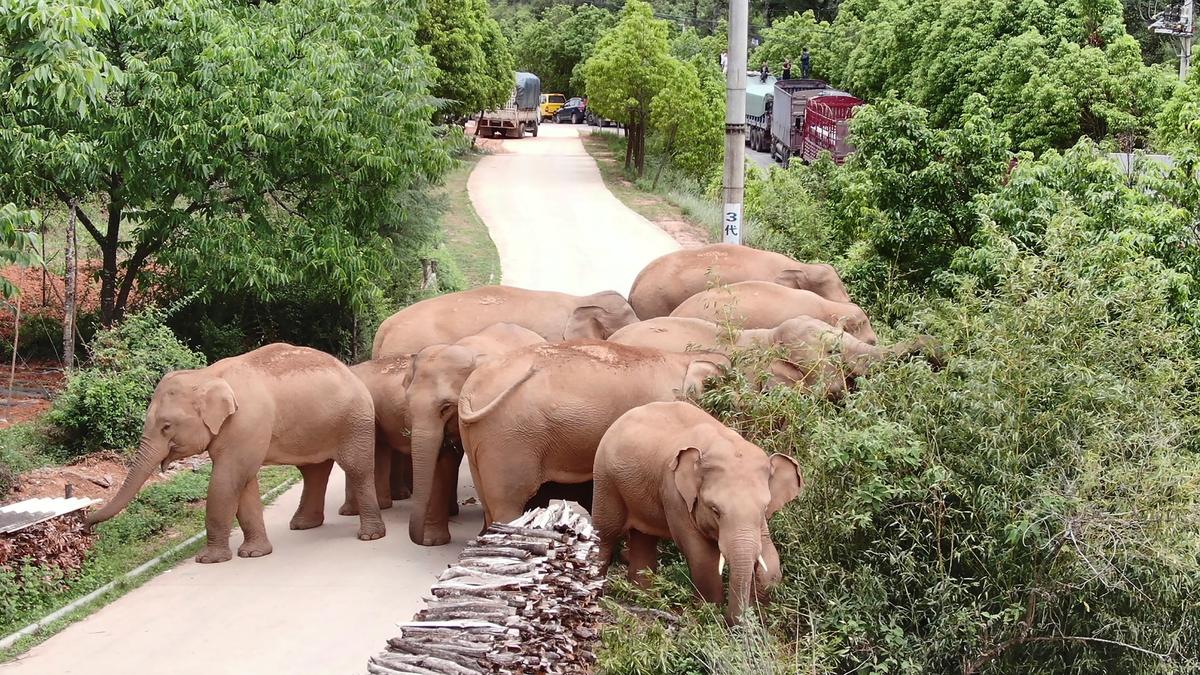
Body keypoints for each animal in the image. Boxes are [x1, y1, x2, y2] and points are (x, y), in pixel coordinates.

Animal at [85, 343, 384, 564]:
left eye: (166, 426)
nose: (85, 525)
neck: (206, 374)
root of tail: (352, 372)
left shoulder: (245, 423)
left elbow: (228, 478)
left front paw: (209, 560)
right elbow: (244, 482)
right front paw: (254, 554)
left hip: (355, 420)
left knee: (357, 469)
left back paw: (370, 536)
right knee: (314, 472)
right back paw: (303, 526)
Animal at [407, 323, 546, 546]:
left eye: (446, 407)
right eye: (408, 403)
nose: (419, 540)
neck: (468, 349)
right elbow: (442, 460)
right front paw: (433, 542)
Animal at [457, 341, 727, 534]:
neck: (684, 358)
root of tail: (469, 391)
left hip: (479, 439)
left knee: (489, 503)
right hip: (510, 438)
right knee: (508, 505)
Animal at [592, 401, 802, 622]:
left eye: (764, 508)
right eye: (715, 510)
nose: (736, 621)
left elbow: (770, 558)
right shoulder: (674, 493)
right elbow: (703, 556)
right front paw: (709, 613)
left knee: (644, 538)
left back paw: (645, 599)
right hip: (605, 480)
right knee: (606, 533)